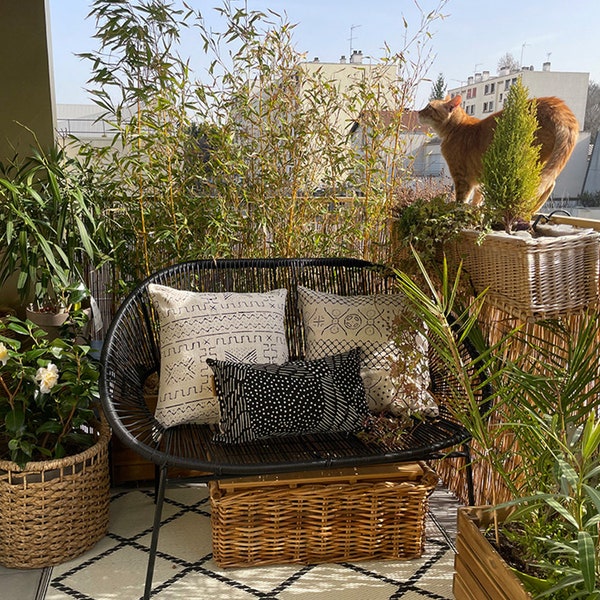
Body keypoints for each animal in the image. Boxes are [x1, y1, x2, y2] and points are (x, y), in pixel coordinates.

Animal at [418, 92, 576, 207]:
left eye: (429, 107)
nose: (418, 112)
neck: (457, 127)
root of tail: (557, 106)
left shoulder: (462, 177)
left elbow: (461, 200)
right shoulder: (480, 179)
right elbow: (477, 198)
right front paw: (475, 209)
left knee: (544, 185)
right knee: (550, 183)